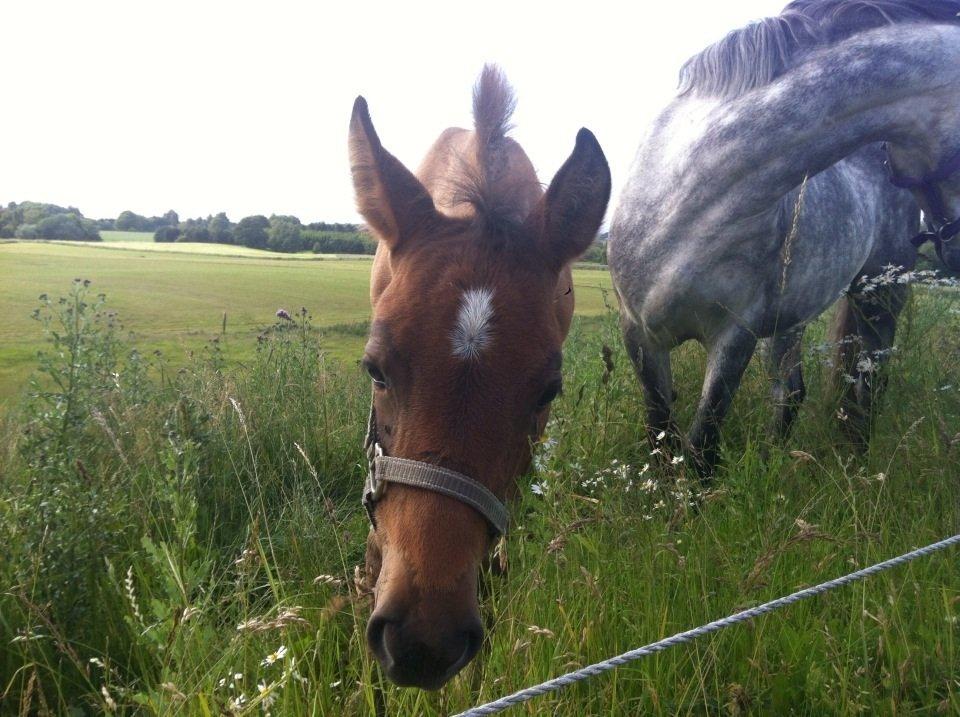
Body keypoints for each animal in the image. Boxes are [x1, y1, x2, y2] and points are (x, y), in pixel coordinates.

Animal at [612, 2, 956, 478]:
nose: (953, 250)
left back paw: (857, 467)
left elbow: (702, 445)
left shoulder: (734, 335)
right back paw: (779, 460)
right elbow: (660, 432)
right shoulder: (638, 334)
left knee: (867, 385)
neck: (681, 200)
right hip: (790, 319)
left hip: (879, 300)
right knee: (791, 391)